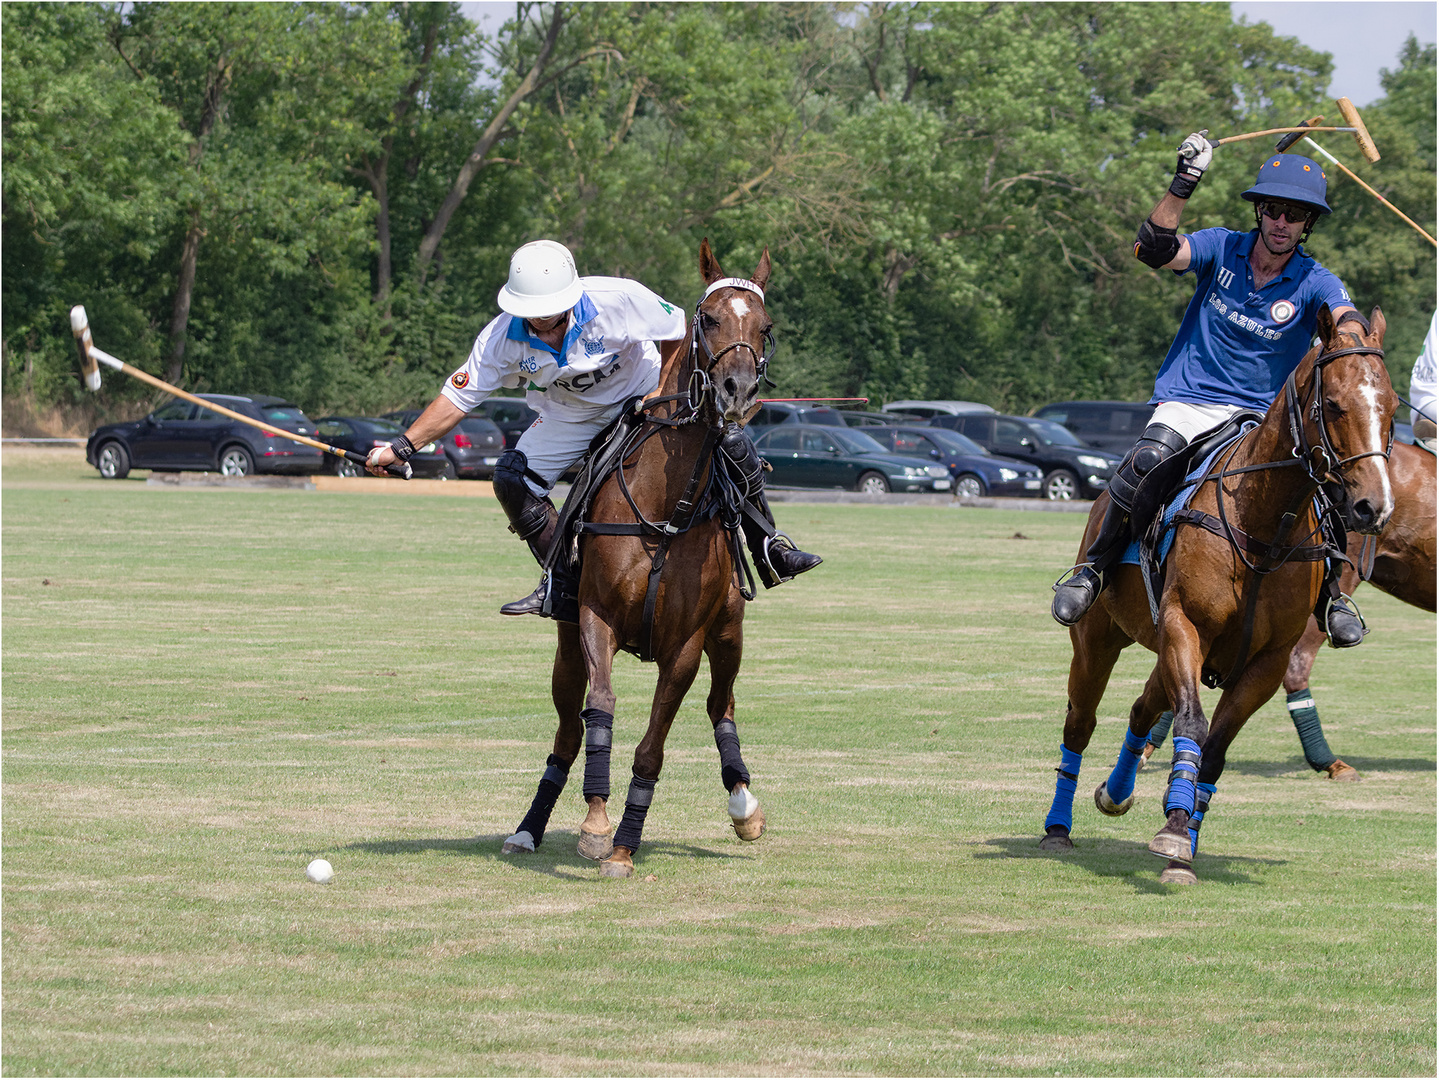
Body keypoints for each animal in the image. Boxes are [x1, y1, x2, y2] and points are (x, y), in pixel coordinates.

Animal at [506, 238, 777, 880]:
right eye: (709, 319)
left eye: (765, 326)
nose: (737, 391)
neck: (664, 506)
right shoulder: (594, 618)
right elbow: (599, 712)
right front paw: (595, 824)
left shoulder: (686, 644)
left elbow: (652, 747)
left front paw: (625, 844)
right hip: (565, 650)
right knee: (566, 732)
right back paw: (530, 827)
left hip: (729, 631)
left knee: (721, 704)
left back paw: (744, 805)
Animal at [1041, 307, 1398, 880]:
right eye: (1334, 405)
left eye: (1390, 407)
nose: (1373, 507)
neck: (1266, 522)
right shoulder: (1185, 623)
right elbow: (1192, 721)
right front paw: (1172, 829)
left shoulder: (1267, 661)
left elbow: (1215, 746)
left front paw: (1182, 842)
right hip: (1100, 637)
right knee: (1081, 720)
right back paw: (1057, 827)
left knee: (1141, 709)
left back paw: (1115, 794)